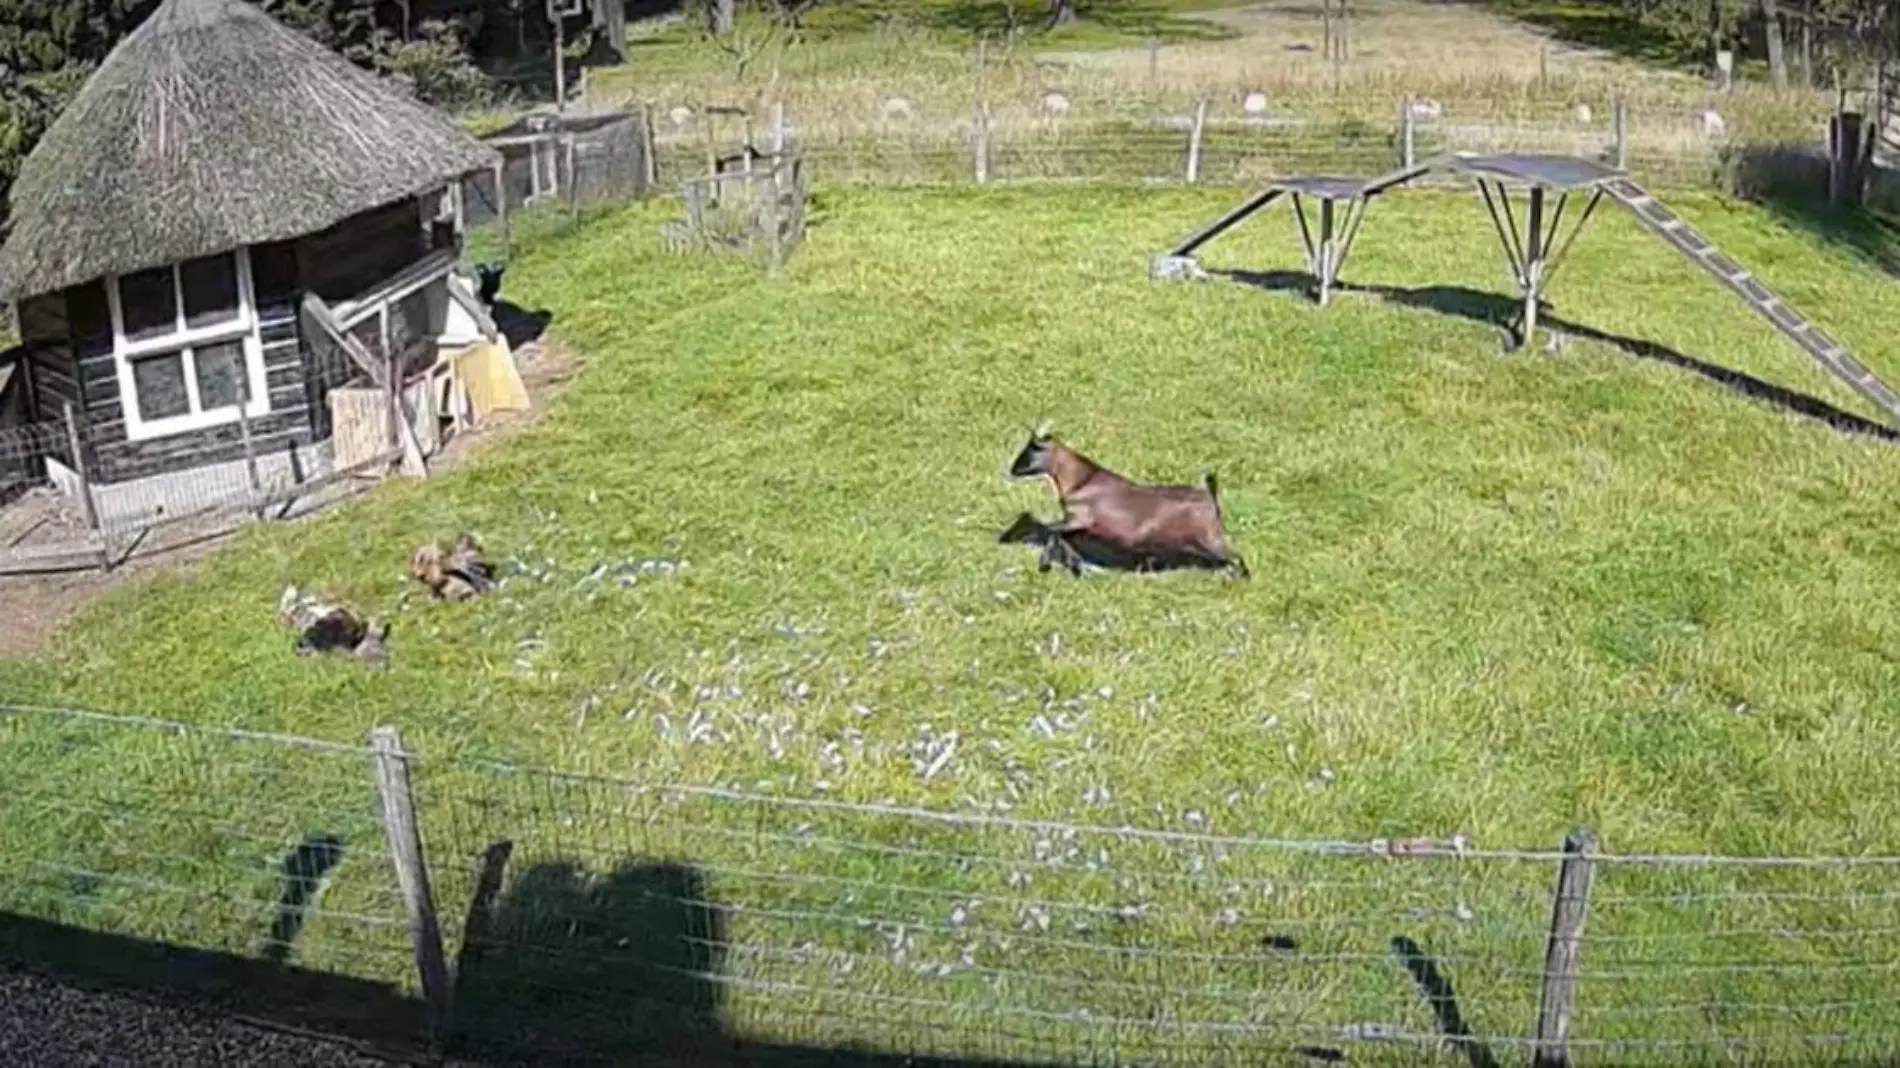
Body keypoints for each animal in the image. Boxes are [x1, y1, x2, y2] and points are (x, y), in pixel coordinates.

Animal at [1003, 423, 1254, 577]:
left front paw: (1046, 563)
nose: (1011, 470)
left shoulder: (1079, 519)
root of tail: (1209, 494)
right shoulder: (1077, 525)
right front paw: (1077, 566)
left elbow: (1052, 531)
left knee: (1237, 556)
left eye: (1030, 450)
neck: (1082, 479)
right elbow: (1062, 538)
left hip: (1211, 539)